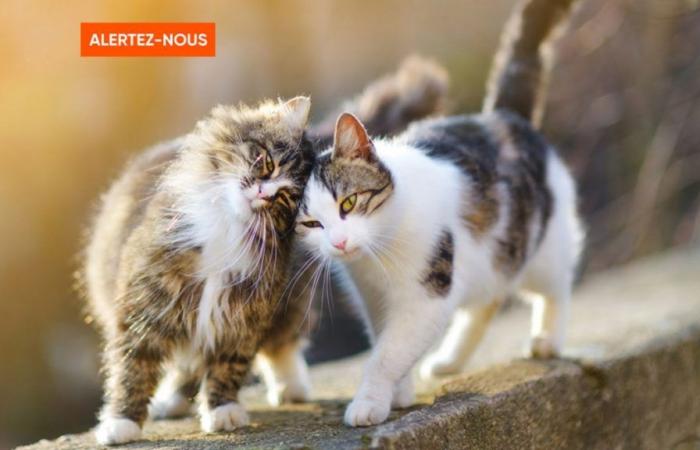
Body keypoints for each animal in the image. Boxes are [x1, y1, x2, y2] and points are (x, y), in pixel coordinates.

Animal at [296, 0, 584, 426]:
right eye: (311, 223)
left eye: (348, 203)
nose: (340, 242)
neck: (379, 255)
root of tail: (502, 116)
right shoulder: (374, 298)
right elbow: (385, 343)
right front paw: (398, 393)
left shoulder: (427, 296)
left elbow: (387, 354)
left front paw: (369, 402)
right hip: (488, 259)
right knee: (487, 302)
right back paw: (449, 360)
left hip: (541, 246)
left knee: (556, 286)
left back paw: (546, 339)